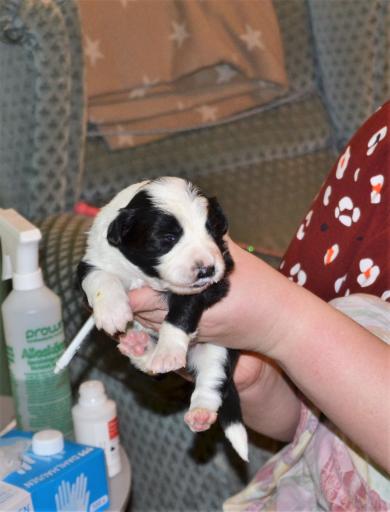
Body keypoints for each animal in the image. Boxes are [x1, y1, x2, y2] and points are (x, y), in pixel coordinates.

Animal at [77, 176, 248, 460]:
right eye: (167, 238)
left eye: (213, 231)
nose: (207, 269)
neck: (145, 275)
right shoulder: (93, 260)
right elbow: (100, 278)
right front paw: (112, 312)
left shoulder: (210, 284)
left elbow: (181, 312)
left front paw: (168, 351)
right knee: (149, 367)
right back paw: (137, 346)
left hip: (219, 350)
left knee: (212, 379)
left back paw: (200, 412)